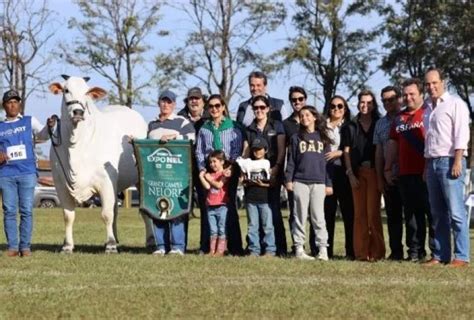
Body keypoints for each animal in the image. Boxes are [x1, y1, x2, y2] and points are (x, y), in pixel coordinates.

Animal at [49, 75, 147, 252]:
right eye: (66, 90)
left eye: (87, 92)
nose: (78, 112)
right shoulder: (60, 184)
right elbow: (68, 216)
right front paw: (67, 245)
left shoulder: (106, 182)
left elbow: (106, 214)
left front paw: (110, 245)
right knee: (115, 209)